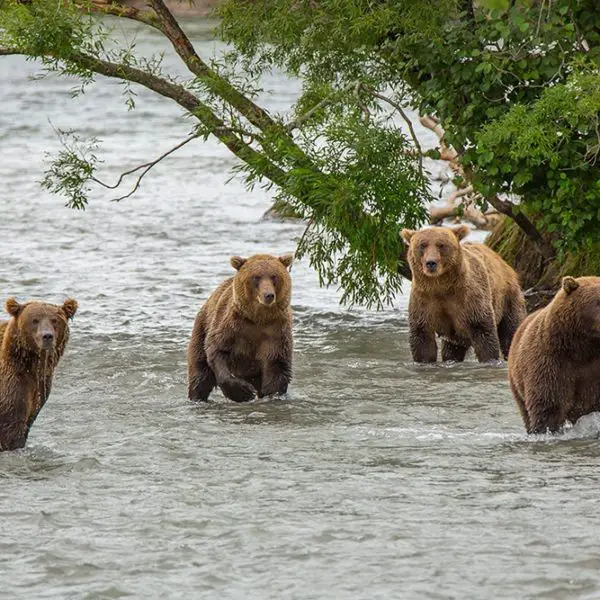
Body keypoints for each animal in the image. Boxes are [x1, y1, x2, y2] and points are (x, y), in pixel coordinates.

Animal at [0, 298, 78, 448]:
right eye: (34, 320)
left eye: (54, 320)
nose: (47, 336)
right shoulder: (12, 382)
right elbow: (12, 426)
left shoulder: (39, 387)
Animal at [186, 253, 292, 404]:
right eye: (256, 276)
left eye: (274, 276)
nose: (268, 295)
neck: (258, 319)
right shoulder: (231, 327)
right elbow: (217, 350)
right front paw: (243, 392)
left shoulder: (275, 331)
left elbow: (277, 365)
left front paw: (272, 394)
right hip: (202, 328)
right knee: (200, 373)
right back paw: (197, 398)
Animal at [404, 225, 524, 364]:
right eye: (422, 245)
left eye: (441, 245)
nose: (431, 263)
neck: (441, 287)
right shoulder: (424, 300)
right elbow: (422, 338)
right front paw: (424, 360)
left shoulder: (469, 299)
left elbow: (484, 332)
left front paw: (489, 359)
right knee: (451, 349)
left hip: (508, 298)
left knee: (511, 331)